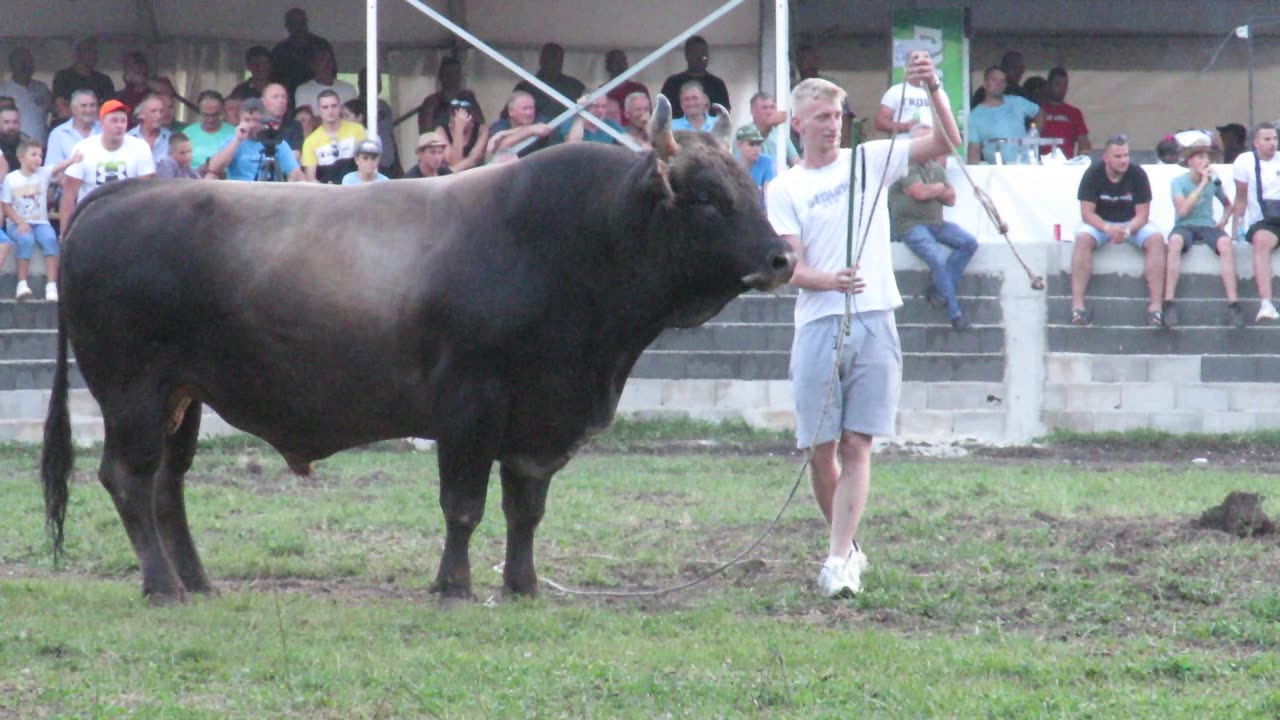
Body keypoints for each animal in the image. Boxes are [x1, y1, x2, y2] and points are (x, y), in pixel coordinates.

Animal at [40, 98, 788, 602]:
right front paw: (453, 586)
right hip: (131, 391)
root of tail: (121, 196)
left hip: (183, 396)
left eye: (748, 188)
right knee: (128, 479)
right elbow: (464, 505)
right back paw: (162, 585)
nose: (782, 257)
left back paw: (196, 580)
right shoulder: (470, 404)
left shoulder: (539, 418)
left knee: (168, 484)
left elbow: (526, 507)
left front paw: (522, 585)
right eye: (706, 198)